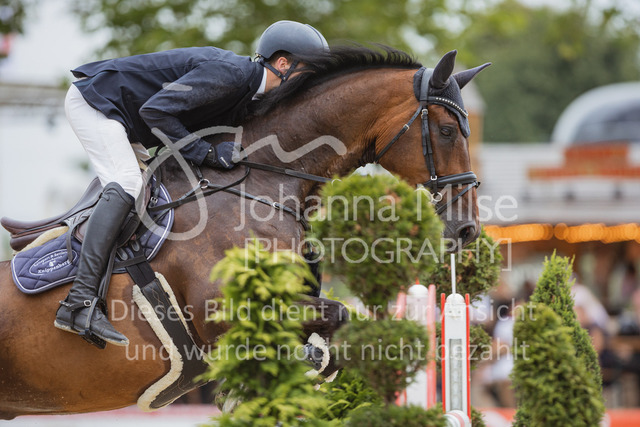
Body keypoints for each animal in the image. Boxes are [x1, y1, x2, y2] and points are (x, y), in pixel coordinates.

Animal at [0, 45, 488, 418]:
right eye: (447, 131)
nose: (466, 229)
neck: (263, 181)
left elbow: (337, 324)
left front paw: (311, 362)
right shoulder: (225, 312)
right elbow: (338, 316)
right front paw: (309, 360)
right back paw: (82, 314)